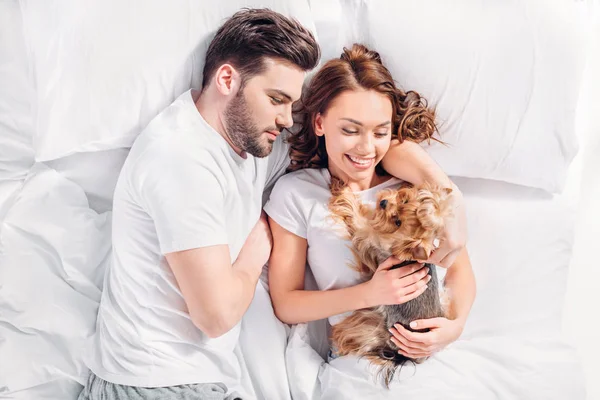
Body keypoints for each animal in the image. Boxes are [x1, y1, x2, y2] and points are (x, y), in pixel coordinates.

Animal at [330, 178, 452, 388]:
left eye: (397, 222)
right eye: (404, 200)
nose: (384, 202)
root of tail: (406, 356)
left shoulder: (367, 235)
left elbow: (356, 215)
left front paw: (344, 190)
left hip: (375, 326)